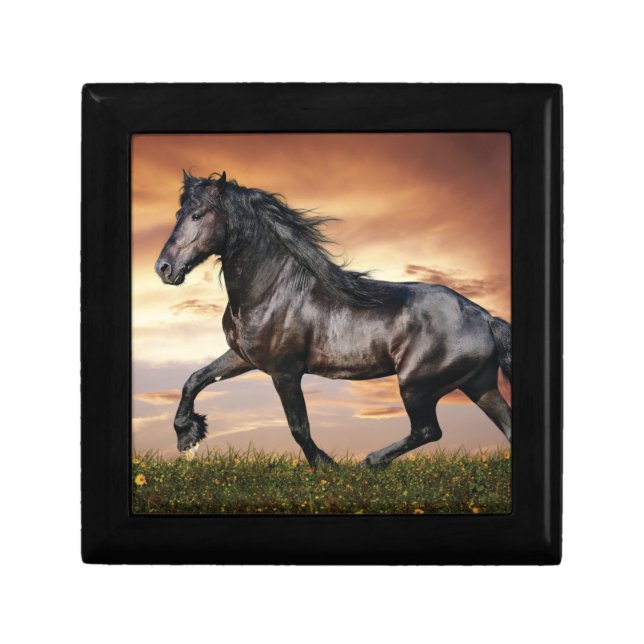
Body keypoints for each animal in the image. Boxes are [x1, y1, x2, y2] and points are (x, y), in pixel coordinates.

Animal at [154, 170, 512, 467]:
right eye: (178, 214)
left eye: (197, 215)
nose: (164, 268)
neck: (272, 290)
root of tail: (485, 317)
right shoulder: (243, 357)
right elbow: (195, 379)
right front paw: (188, 436)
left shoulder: (285, 372)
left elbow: (298, 426)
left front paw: (326, 466)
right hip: (479, 386)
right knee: (503, 425)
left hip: (416, 385)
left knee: (428, 430)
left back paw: (371, 461)